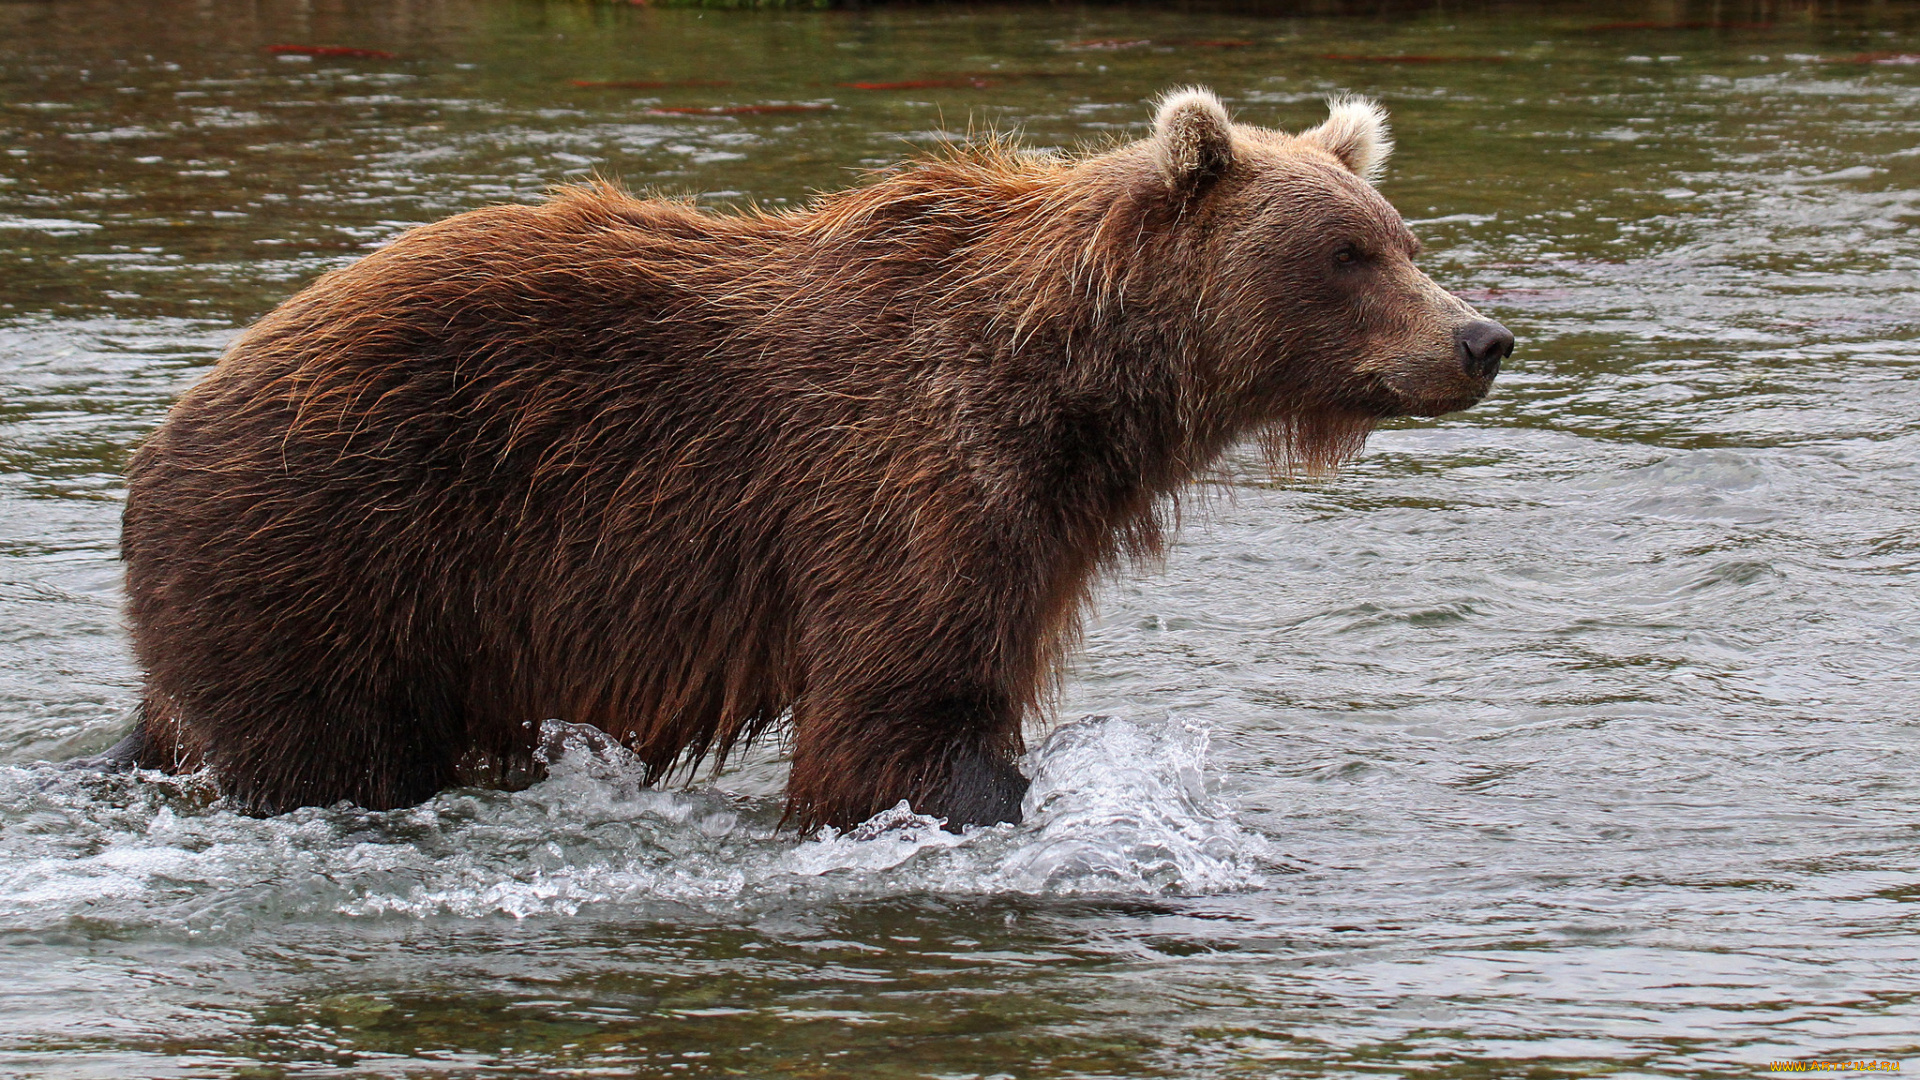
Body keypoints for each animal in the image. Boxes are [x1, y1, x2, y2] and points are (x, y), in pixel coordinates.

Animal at [105, 88, 1512, 826]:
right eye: (1347, 253)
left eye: (1400, 235)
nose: (1481, 337)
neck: (1075, 401)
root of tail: (171, 425)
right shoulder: (909, 480)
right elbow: (899, 712)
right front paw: (982, 797)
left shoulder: (1039, 529)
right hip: (334, 550)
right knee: (328, 748)